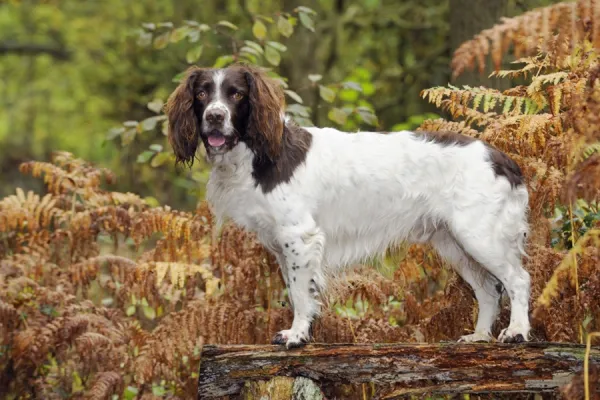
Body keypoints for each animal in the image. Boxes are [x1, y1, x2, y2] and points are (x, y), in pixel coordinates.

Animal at [164, 64, 528, 348]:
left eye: (236, 94)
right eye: (202, 94)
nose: (214, 117)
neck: (263, 153)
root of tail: (502, 158)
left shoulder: (299, 236)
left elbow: (299, 293)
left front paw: (297, 336)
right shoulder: (283, 245)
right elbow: (298, 290)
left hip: (478, 235)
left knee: (518, 279)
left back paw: (517, 332)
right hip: (453, 242)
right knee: (488, 289)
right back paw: (479, 337)